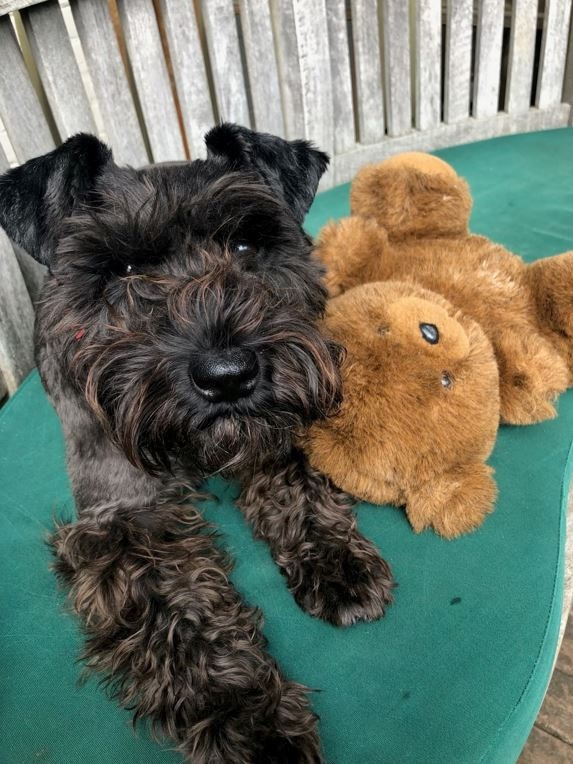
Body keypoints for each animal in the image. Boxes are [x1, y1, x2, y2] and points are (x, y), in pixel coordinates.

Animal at [0, 122, 394, 760]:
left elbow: (297, 485)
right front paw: (250, 719)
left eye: (244, 247)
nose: (229, 375)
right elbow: (177, 610)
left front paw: (337, 562)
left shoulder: (271, 433)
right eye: (124, 271)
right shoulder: (123, 516)